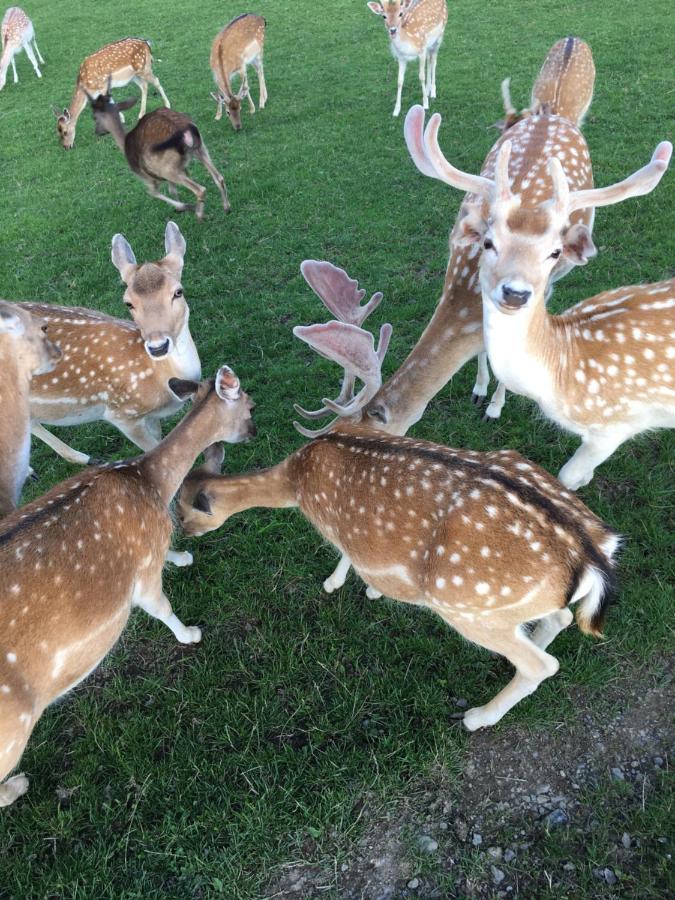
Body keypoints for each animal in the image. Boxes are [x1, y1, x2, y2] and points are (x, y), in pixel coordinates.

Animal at [0, 366, 256, 808]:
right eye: (251, 405)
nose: (255, 431)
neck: (149, 484)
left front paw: (182, 557)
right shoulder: (143, 578)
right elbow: (162, 607)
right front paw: (191, 634)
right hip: (10, 727)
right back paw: (19, 785)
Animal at [89, 85, 230, 218]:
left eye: (94, 117)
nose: (97, 132)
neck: (124, 144)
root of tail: (187, 131)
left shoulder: (147, 177)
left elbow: (153, 192)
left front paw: (184, 207)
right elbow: (172, 190)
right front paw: (180, 208)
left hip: (168, 168)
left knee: (200, 189)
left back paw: (200, 214)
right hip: (200, 148)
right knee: (219, 177)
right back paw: (227, 208)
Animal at [178, 258, 616, 732]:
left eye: (182, 510)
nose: (184, 535)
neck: (296, 477)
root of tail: (594, 552)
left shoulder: (337, 523)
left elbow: (351, 556)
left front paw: (346, 585)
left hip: (470, 607)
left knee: (542, 665)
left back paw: (477, 716)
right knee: (560, 616)